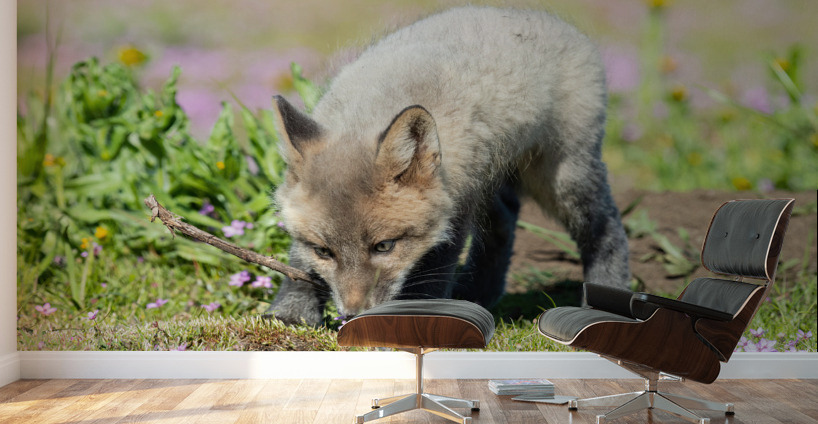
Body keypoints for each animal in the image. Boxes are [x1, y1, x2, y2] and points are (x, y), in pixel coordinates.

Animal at [268, 6, 630, 326]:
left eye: (384, 246)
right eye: (324, 251)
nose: (353, 314)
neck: (371, 113)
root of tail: (550, 19)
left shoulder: (455, 203)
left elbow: (434, 271)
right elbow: (299, 262)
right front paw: (291, 313)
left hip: (559, 176)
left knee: (607, 227)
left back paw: (607, 293)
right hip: (491, 176)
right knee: (505, 219)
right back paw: (478, 294)